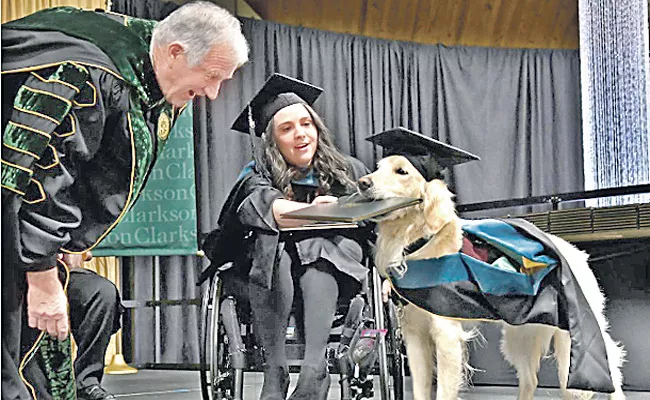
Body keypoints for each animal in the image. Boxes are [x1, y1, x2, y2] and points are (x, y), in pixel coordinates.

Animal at [354, 128, 624, 400]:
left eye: (401, 171)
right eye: (378, 168)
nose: (362, 182)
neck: (417, 240)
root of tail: (574, 251)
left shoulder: (446, 334)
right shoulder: (414, 335)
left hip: (572, 338)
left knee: (605, 375)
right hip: (521, 332)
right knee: (530, 379)